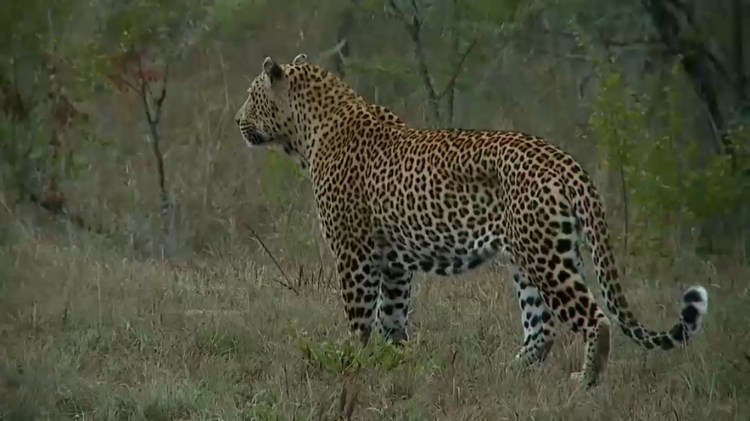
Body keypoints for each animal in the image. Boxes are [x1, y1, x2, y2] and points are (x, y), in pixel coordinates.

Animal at [234, 53, 709, 388]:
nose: (237, 120)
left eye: (252, 95)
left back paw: (586, 383)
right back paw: (507, 373)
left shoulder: (354, 253)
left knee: (595, 318)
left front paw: (351, 361)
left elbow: (359, 318)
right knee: (542, 329)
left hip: (544, 259)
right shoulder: (394, 263)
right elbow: (392, 318)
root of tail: (566, 161)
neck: (310, 131)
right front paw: (395, 363)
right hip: (530, 257)